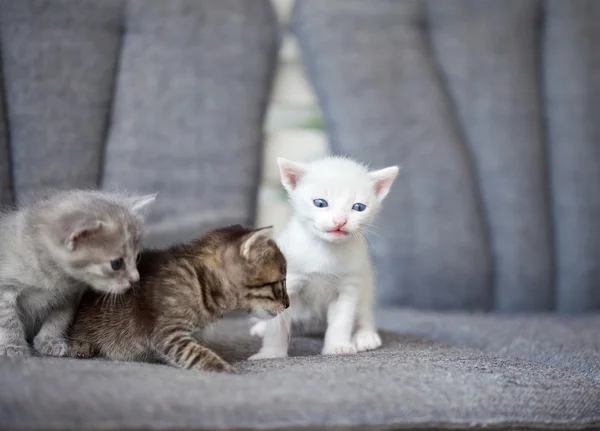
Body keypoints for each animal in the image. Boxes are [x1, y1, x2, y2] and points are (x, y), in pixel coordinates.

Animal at [0, 190, 157, 358]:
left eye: (137, 257)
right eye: (116, 263)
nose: (135, 279)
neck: (53, 278)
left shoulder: (69, 297)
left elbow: (58, 320)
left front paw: (49, 340)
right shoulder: (5, 288)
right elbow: (8, 320)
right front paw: (12, 345)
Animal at [68, 224, 288, 372]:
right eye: (280, 283)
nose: (287, 304)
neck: (204, 283)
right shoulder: (168, 332)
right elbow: (194, 353)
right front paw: (222, 367)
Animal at [248, 157, 398, 360]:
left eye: (359, 207)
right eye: (320, 203)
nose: (340, 221)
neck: (325, 250)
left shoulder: (347, 287)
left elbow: (342, 320)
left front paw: (338, 347)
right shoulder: (289, 283)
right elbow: (277, 327)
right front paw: (271, 353)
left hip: (366, 284)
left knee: (364, 312)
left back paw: (365, 335)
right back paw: (261, 327)